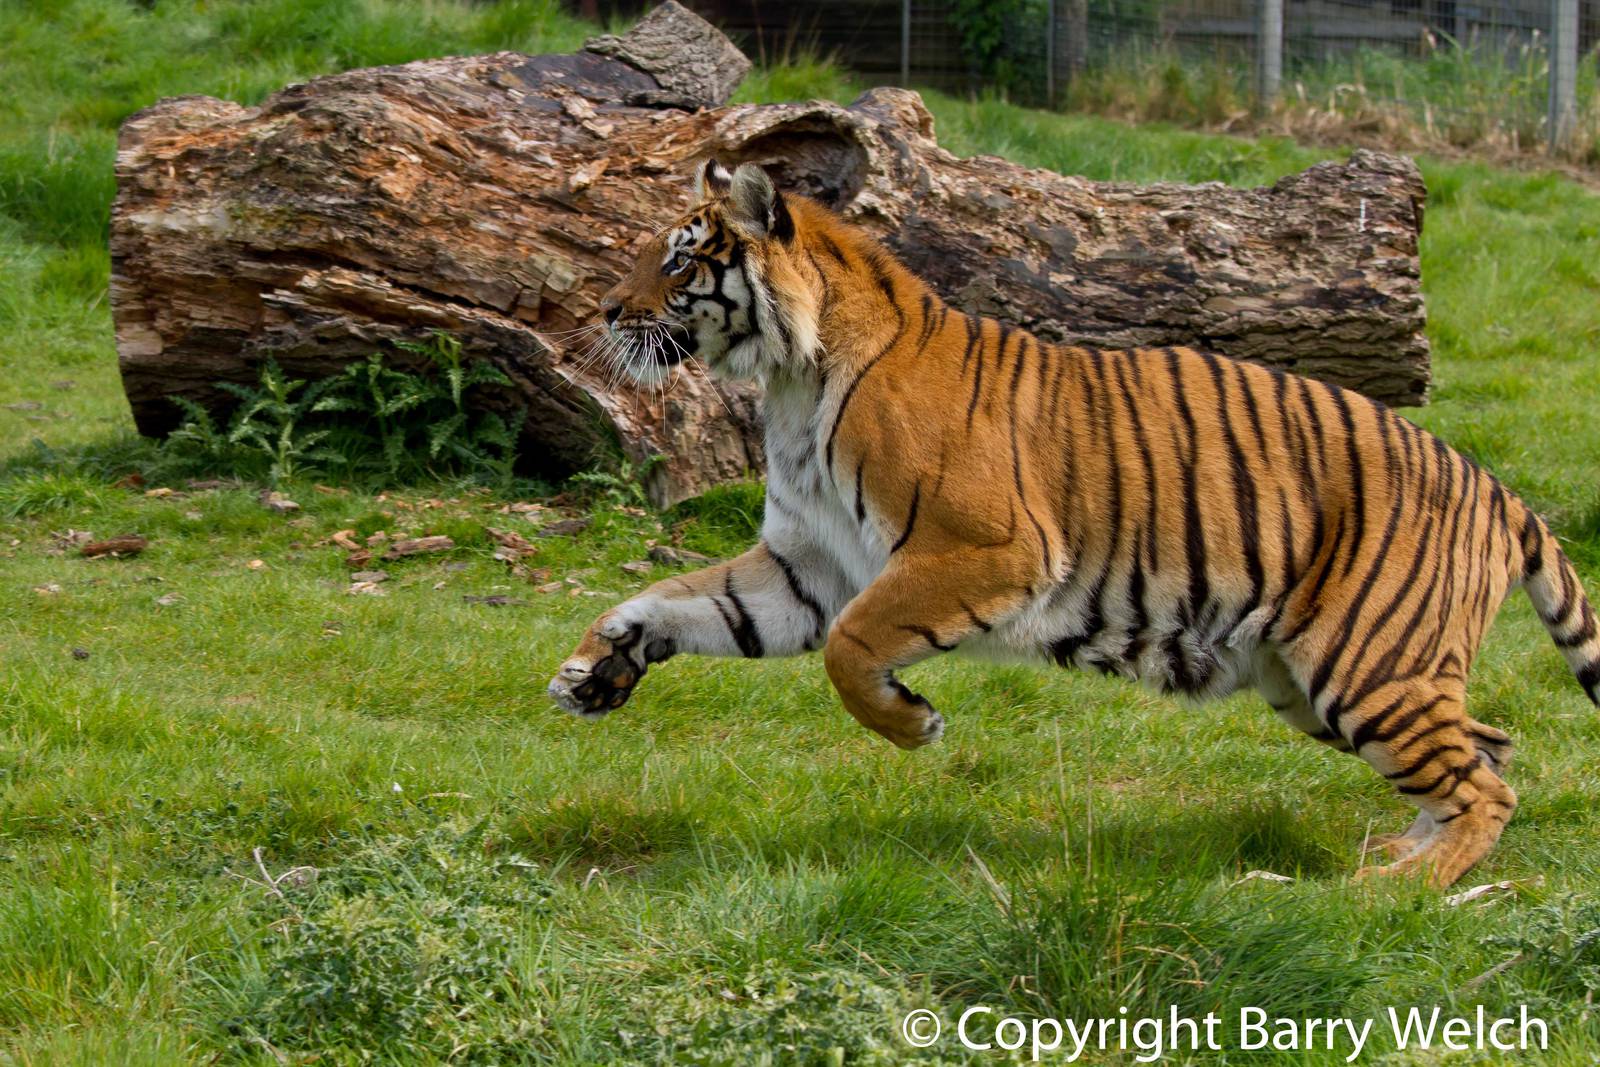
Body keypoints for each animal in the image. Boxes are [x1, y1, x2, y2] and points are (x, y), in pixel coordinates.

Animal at [547, 158, 1600, 888]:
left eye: (678, 258)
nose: (604, 309)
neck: (790, 379)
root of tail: (1498, 487)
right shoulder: (806, 561)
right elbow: (683, 598)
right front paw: (596, 666)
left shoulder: (986, 549)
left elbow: (852, 647)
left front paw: (913, 724)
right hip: (1321, 682)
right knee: (1489, 748)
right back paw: (1406, 863)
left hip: (1365, 667)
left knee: (1487, 783)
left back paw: (1388, 890)